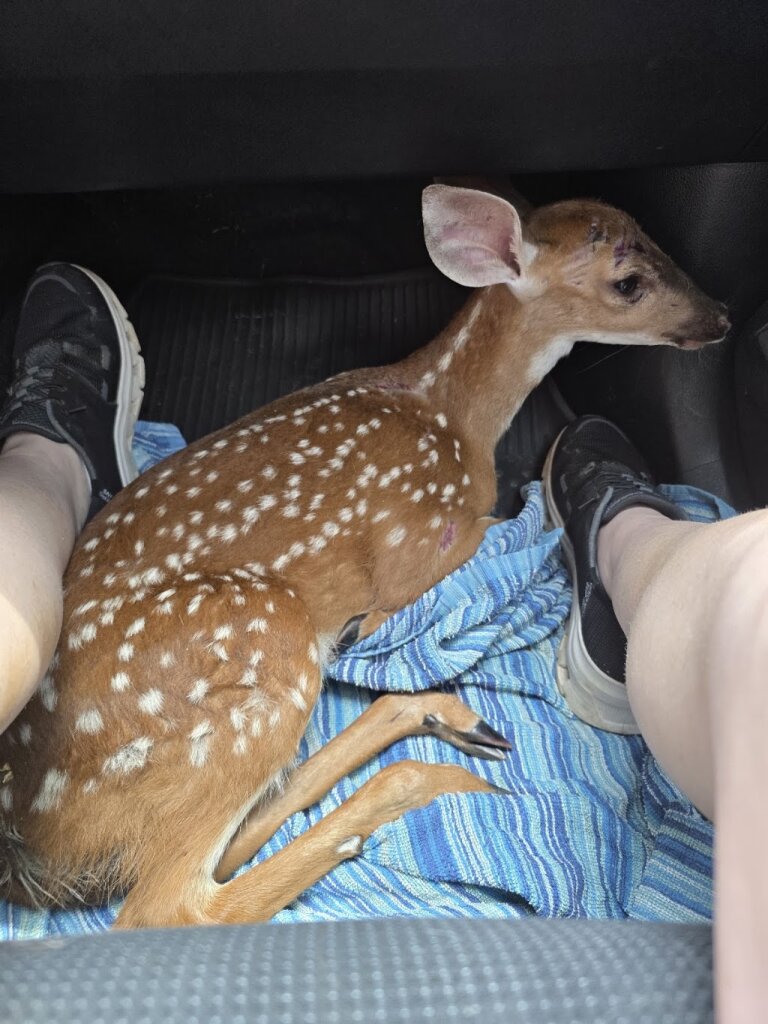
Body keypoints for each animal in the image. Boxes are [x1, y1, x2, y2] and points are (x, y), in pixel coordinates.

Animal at [0, 186, 729, 929]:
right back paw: (438, 776)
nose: (722, 318)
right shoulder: (429, 546)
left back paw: (450, 722)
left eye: (654, 240)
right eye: (629, 282)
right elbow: (492, 535)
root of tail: (28, 852)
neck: (452, 415)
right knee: (171, 905)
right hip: (261, 644)